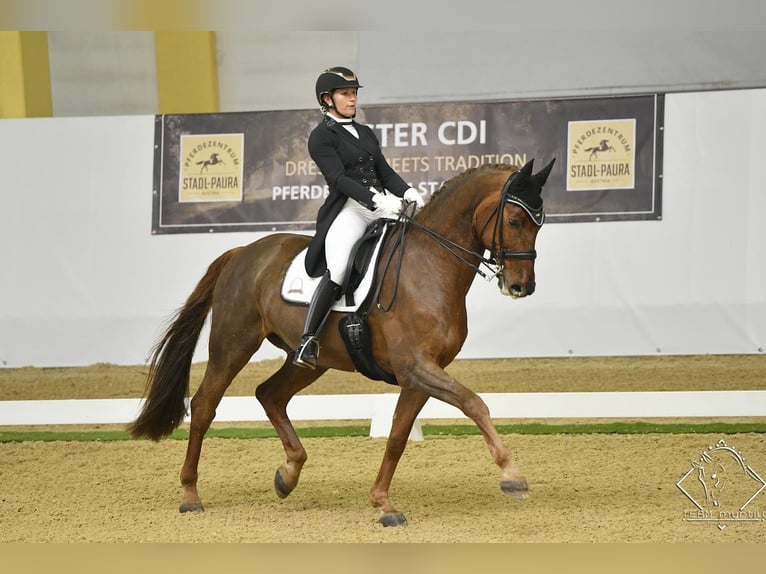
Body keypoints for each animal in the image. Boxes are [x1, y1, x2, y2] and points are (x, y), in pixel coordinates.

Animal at [129, 159, 556, 532]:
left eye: (540, 224)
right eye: (514, 220)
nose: (522, 286)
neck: (430, 266)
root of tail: (243, 253)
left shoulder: (420, 375)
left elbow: (398, 436)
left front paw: (383, 504)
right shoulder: (417, 366)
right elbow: (475, 403)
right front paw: (512, 475)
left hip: (311, 361)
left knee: (269, 394)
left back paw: (288, 474)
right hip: (233, 345)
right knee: (204, 405)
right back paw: (190, 494)